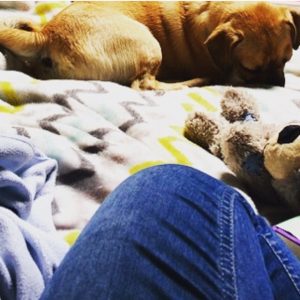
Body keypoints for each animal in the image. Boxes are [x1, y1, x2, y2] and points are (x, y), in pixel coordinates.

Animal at [0, 1, 298, 89]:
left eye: (286, 61)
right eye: (251, 69)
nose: (277, 82)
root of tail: (47, 35)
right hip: (150, 44)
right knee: (146, 86)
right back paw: (197, 81)